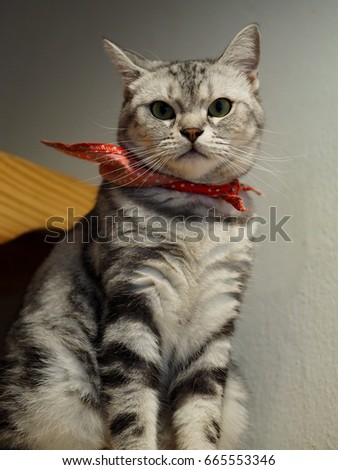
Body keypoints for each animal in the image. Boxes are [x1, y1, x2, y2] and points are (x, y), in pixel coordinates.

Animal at [0, 23, 264, 450]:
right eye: (162, 110)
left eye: (220, 107)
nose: (192, 130)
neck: (195, 219)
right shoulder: (132, 303)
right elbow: (134, 412)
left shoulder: (216, 318)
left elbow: (201, 416)